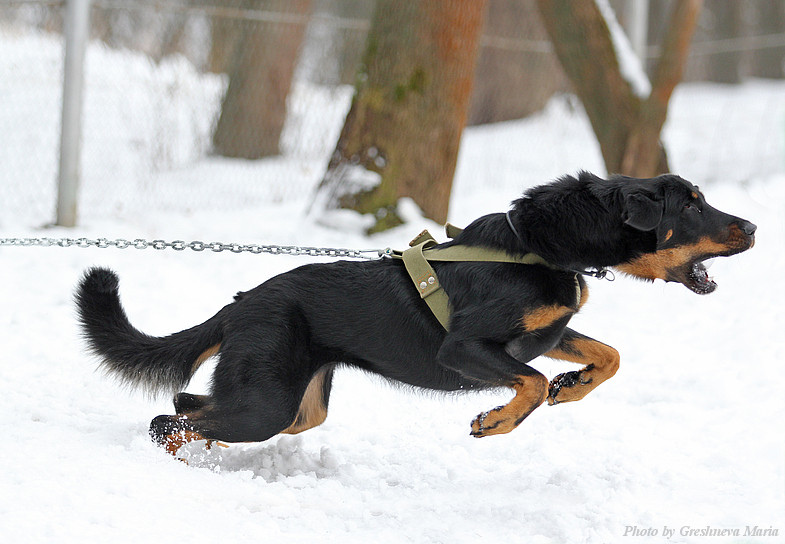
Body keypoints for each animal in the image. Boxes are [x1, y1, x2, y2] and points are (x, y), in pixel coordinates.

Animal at [75, 172, 752, 452]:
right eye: (692, 205)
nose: (752, 227)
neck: (543, 243)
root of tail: (240, 305)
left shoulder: (545, 333)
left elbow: (604, 356)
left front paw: (573, 385)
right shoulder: (466, 349)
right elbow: (530, 385)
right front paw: (495, 422)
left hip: (295, 406)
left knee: (187, 405)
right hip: (267, 403)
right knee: (167, 421)